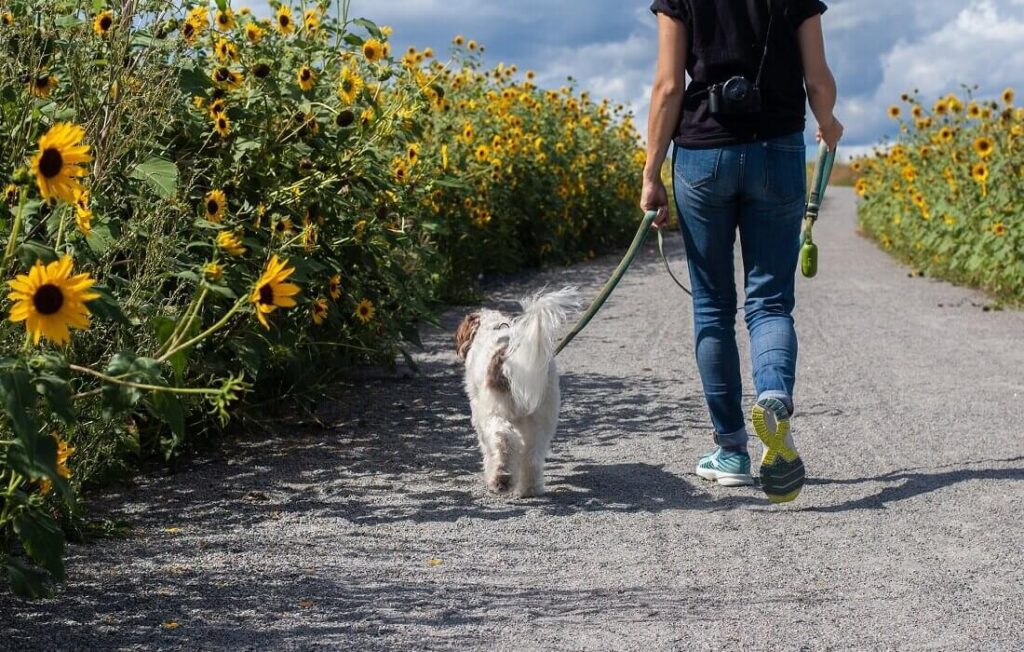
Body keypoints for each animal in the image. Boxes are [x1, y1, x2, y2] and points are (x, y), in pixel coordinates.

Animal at [454, 286, 581, 495]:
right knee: (532, 454)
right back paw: (530, 488)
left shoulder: (479, 413)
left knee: (503, 439)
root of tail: (509, 356)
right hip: (542, 416)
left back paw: (501, 479)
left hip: (495, 412)